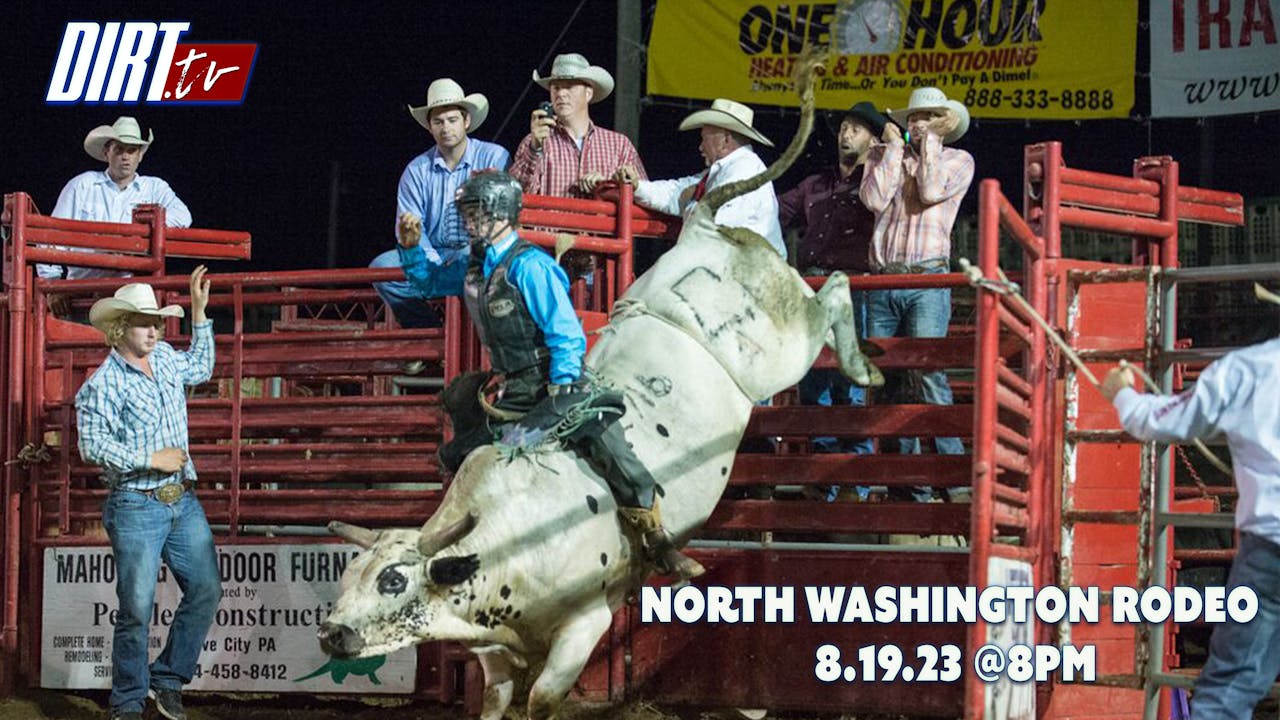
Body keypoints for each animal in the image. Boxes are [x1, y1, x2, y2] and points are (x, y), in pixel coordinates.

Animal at [314, 51, 885, 717]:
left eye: (392, 579)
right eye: (348, 573)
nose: (332, 631)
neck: (509, 535)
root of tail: (705, 225)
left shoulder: (584, 624)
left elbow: (541, 698)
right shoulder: (493, 649)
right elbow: (495, 699)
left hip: (785, 346)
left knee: (835, 290)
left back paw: (862, 365)